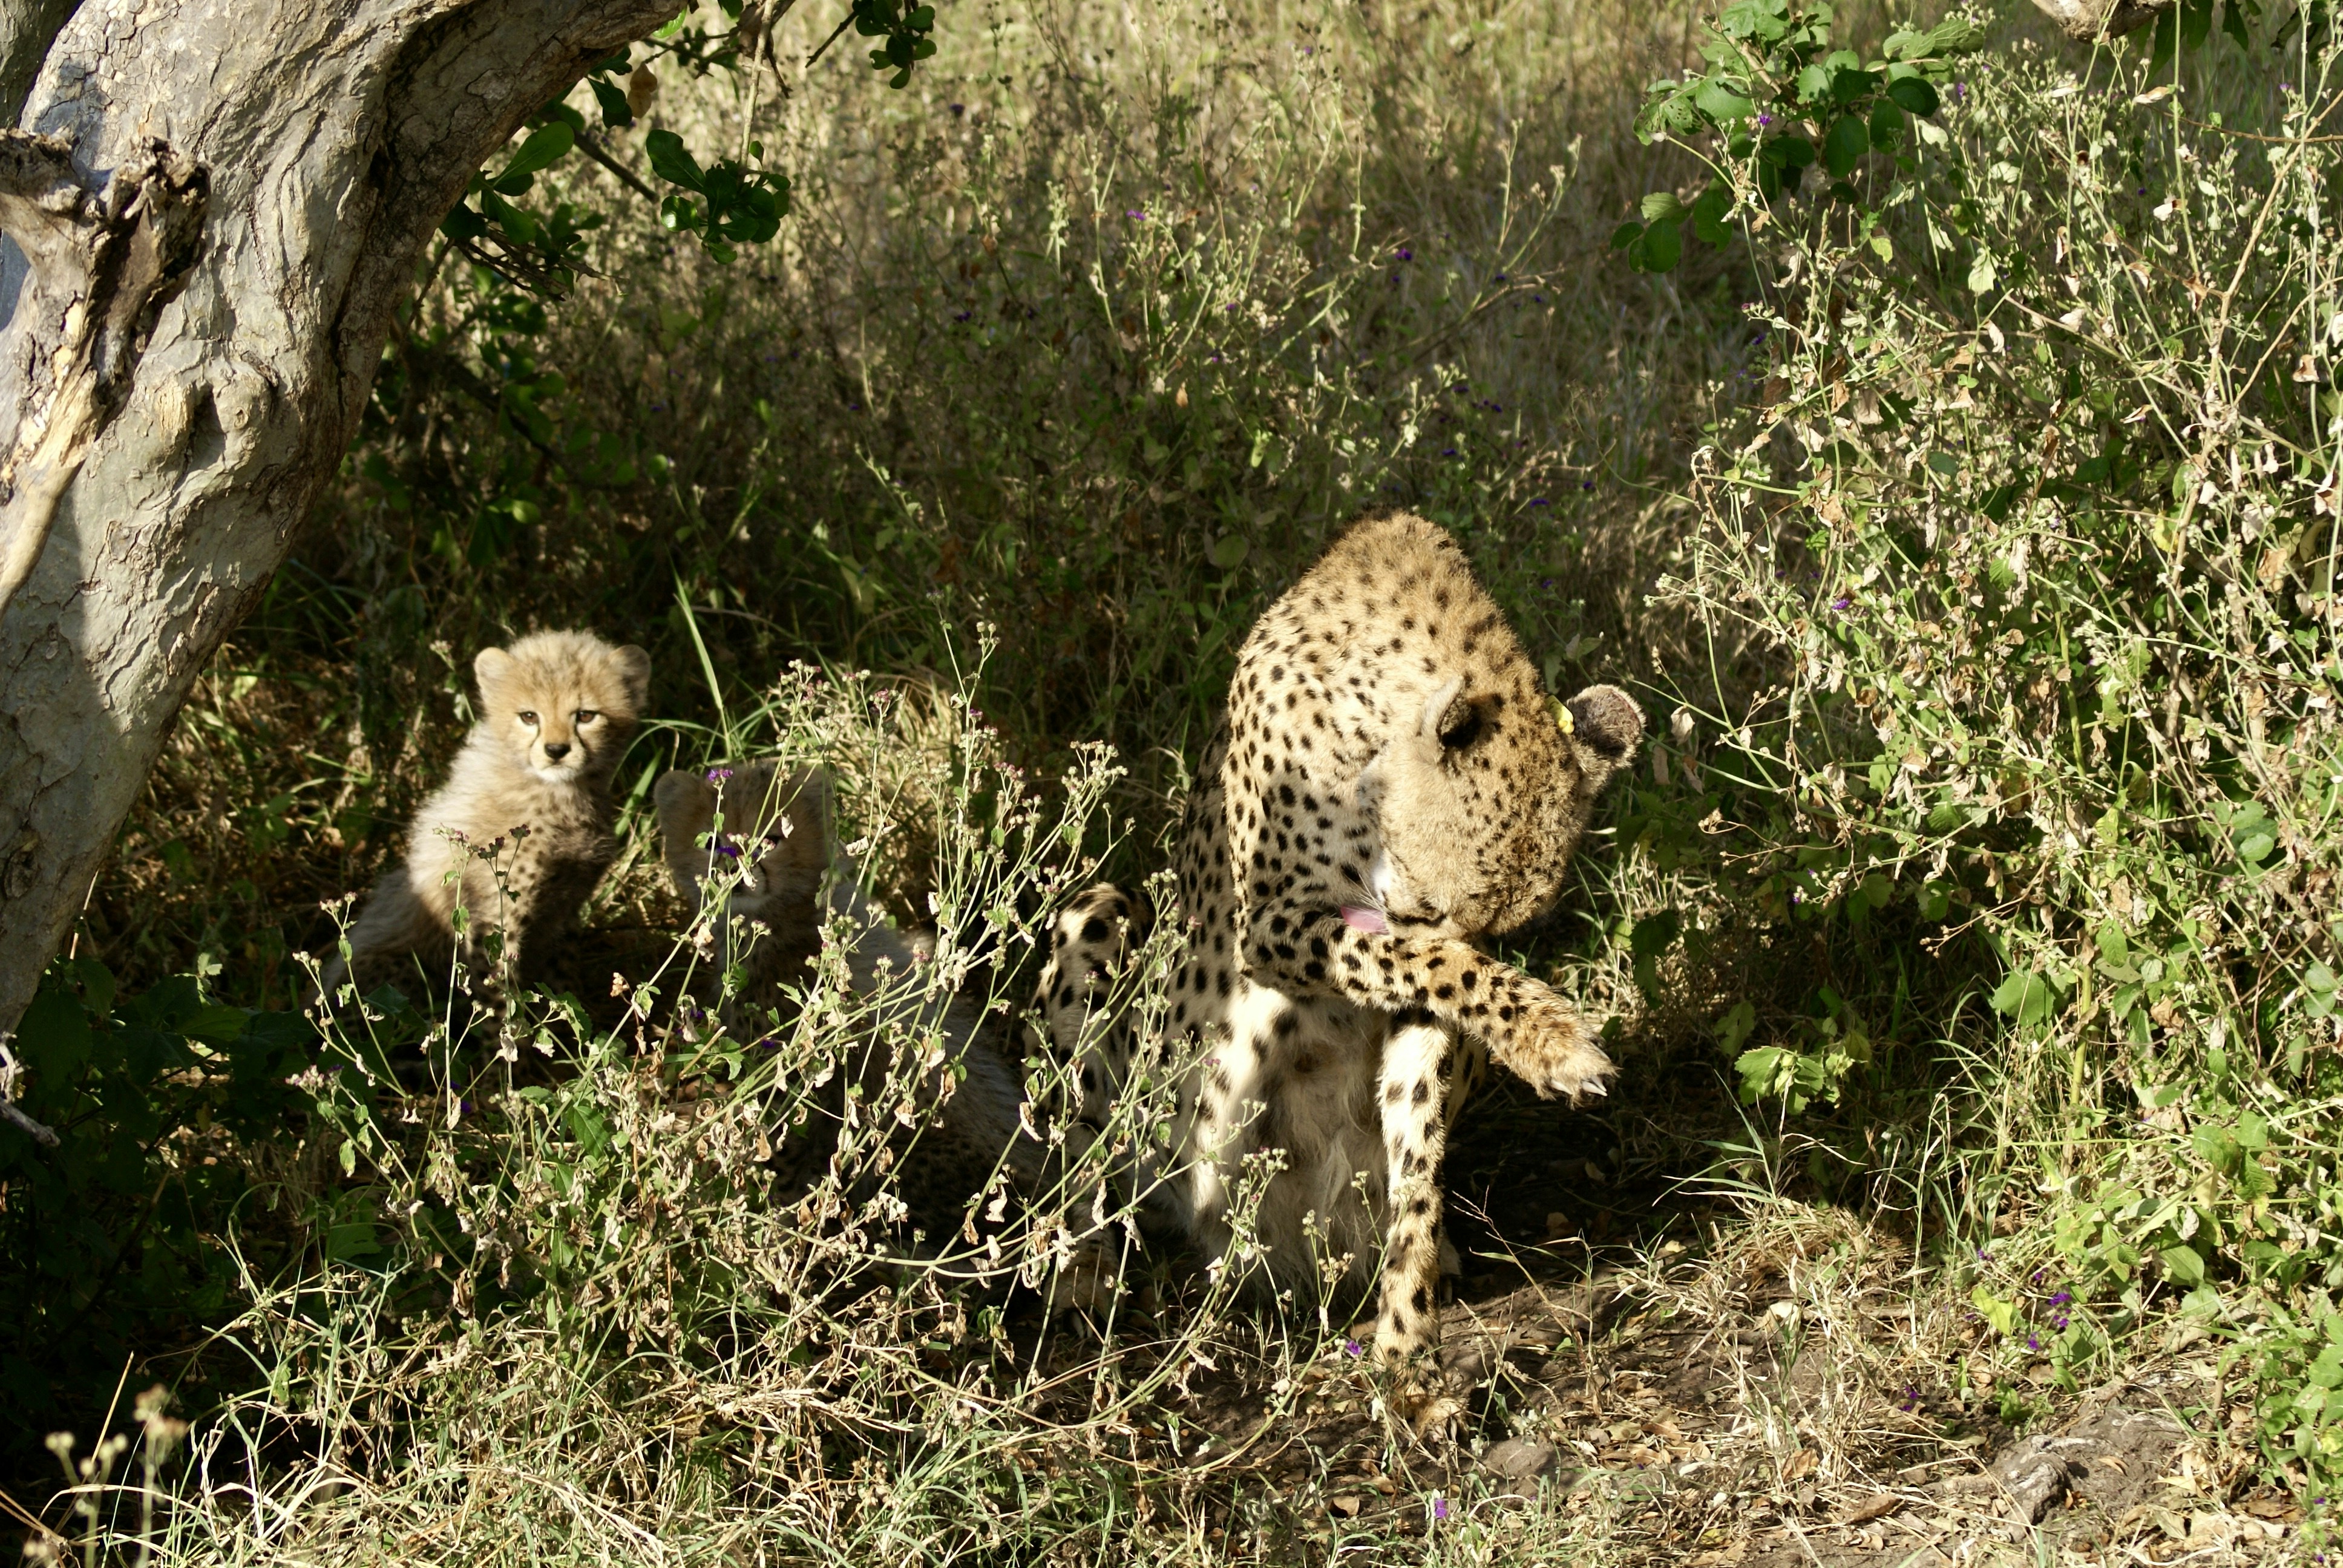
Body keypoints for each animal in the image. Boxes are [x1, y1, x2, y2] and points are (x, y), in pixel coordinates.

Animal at [1033, 512, 1644, 1419]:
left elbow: (1420, 1143)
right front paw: (1556, 1042)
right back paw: (1078, 1269)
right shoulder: (1275, 926)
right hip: (1101, 926)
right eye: (1432, 902)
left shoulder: (1416, 1000)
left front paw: (1406, 1348)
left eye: (1505, 927)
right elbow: (1415, 961)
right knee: (1079, 1153)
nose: (1440, 927)